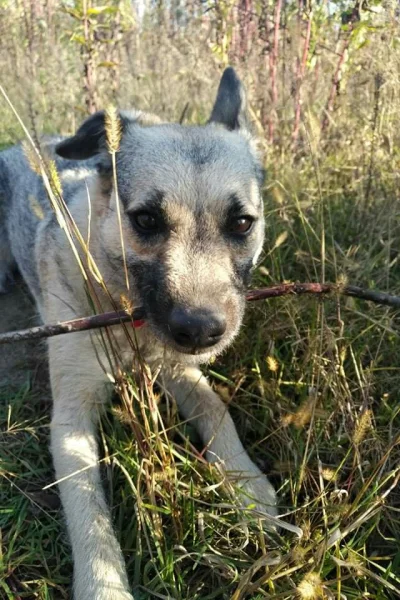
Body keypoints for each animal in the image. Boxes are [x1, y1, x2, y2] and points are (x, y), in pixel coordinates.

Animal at [0, 69, 276, 600]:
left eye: (241, 223)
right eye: (146, 219)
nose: (201, 331)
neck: (123, 307)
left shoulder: (178, 369)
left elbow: (216, 408)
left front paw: (246, 484)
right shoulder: (72, 416)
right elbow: (88, 511)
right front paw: (103, 585)